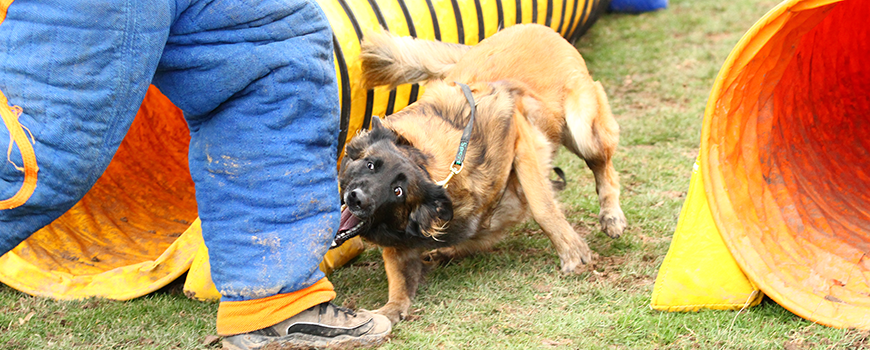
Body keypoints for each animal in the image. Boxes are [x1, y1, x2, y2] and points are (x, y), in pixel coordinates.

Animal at [336, 23, 628, 322]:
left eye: (398, 191)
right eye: (371, 165)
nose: (356, 198)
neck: (425, 162)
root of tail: (533, 27)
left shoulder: (521, 137)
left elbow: (542, 207)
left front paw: (572, 252)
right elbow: (400, 280)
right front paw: (388, 311)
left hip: (583, 130)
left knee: (604, 167)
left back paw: (611, 216)